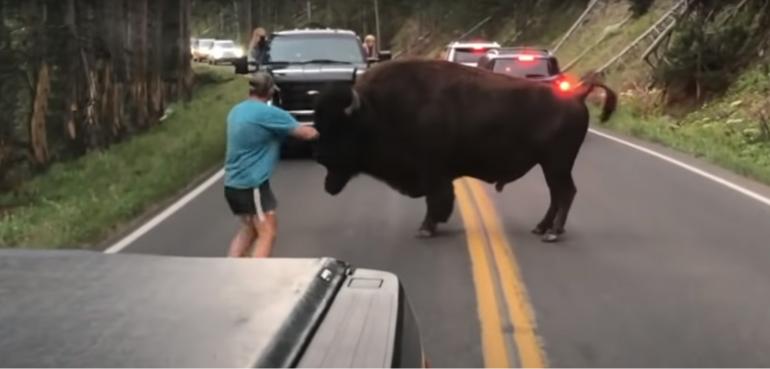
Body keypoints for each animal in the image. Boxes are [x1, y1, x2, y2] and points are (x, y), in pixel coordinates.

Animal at [308, 59, 616, 242]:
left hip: (556, 164)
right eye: (319, 123)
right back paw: (541, 228)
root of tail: (577, 93)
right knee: (557, 194)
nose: (319, 156)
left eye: (341, 127)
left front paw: (426, 228)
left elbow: (436, 200)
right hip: (550, 165)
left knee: (565, 193)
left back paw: (552, 233)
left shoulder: (432, 171)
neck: (375, 109)